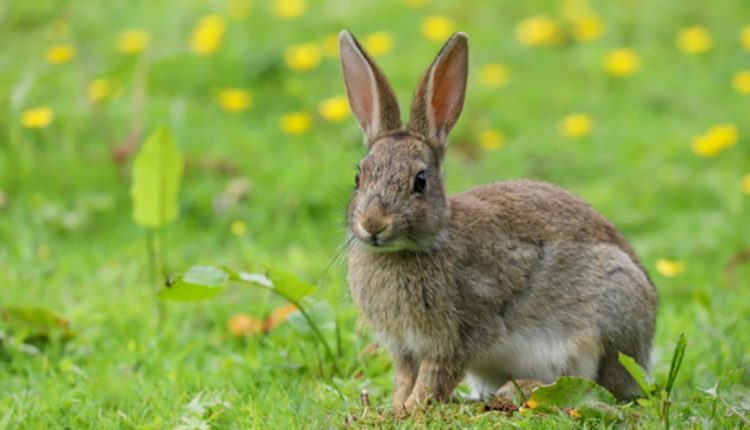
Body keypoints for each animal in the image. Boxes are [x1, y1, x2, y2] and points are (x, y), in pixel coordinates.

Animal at [340, 28, 656, 412]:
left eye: (420, 182)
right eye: (359, 177)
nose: (373, 224)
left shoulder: (456, 337)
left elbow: (432, 379)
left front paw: (411, 409)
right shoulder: (403, 348)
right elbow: (404, 378)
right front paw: (395, 408)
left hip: (613, 305)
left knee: (596, 385)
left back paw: (518, 391)